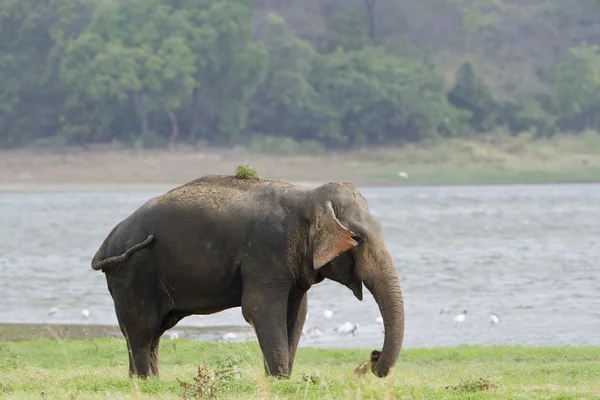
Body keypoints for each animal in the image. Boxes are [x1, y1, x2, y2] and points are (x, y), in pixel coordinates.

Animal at [89, 174, 406, 378]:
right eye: (357, 238)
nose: (373, 357)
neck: (308, 197)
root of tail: (107, 240)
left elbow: (296, 315)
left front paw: (280, 380)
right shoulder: (266, 250)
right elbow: (261, 309)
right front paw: (279, 379)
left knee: (153, 331)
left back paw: (146, 381)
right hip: (134, 270)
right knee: (142, 329)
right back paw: (145, 382)